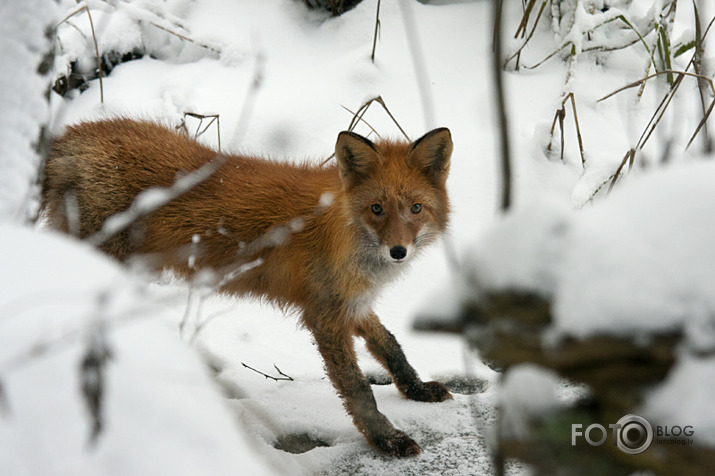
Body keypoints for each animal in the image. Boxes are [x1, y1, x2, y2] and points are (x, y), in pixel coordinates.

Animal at [40, 117, 454, 456]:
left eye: (415, 209)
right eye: (377, 209)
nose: (398, 251)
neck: (342, 229)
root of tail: (74, 133)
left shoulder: (350, 303)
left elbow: (390, 346)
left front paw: (416, 389)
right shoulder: (325, 316)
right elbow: (358, 389)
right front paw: (386, 439)